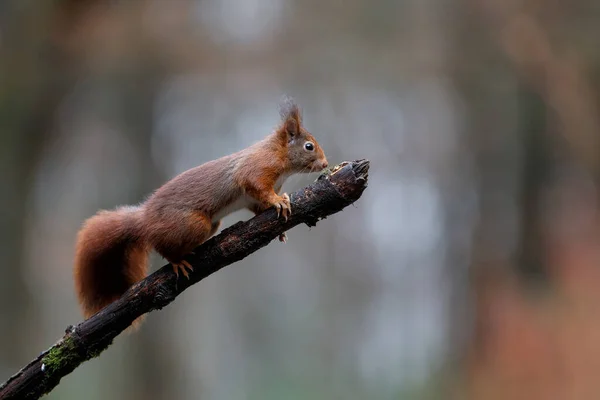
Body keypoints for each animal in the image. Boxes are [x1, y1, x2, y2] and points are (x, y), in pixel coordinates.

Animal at [75, 99, 330, 322]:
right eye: (309, 146)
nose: (326, 164)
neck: (280, 157)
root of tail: (144, 220)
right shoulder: (256, 169)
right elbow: (257, 186)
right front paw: (279, 201)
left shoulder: (252, 199)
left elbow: (259, 207)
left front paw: (281, 217)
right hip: (192, 224)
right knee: (162, 245)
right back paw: (177, 261)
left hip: (210, 226)